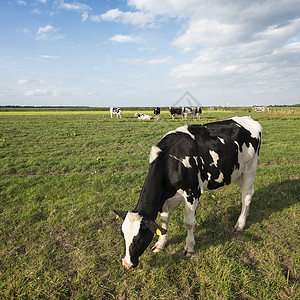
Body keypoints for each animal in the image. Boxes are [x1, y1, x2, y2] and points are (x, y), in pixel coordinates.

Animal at [113, 116, 262, 268]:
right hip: (237, 173)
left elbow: (189, 223)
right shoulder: (165, 198)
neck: (171, 161)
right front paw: (161, 243)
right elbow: (164, 220)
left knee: (246, 196)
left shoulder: (192, 193)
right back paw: (245, 215)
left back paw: (240, 224)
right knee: (249, 193)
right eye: (123, 236)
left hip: (250, 168)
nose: (127, 264)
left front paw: (189, 247)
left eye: (139, 240)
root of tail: (248, 119)